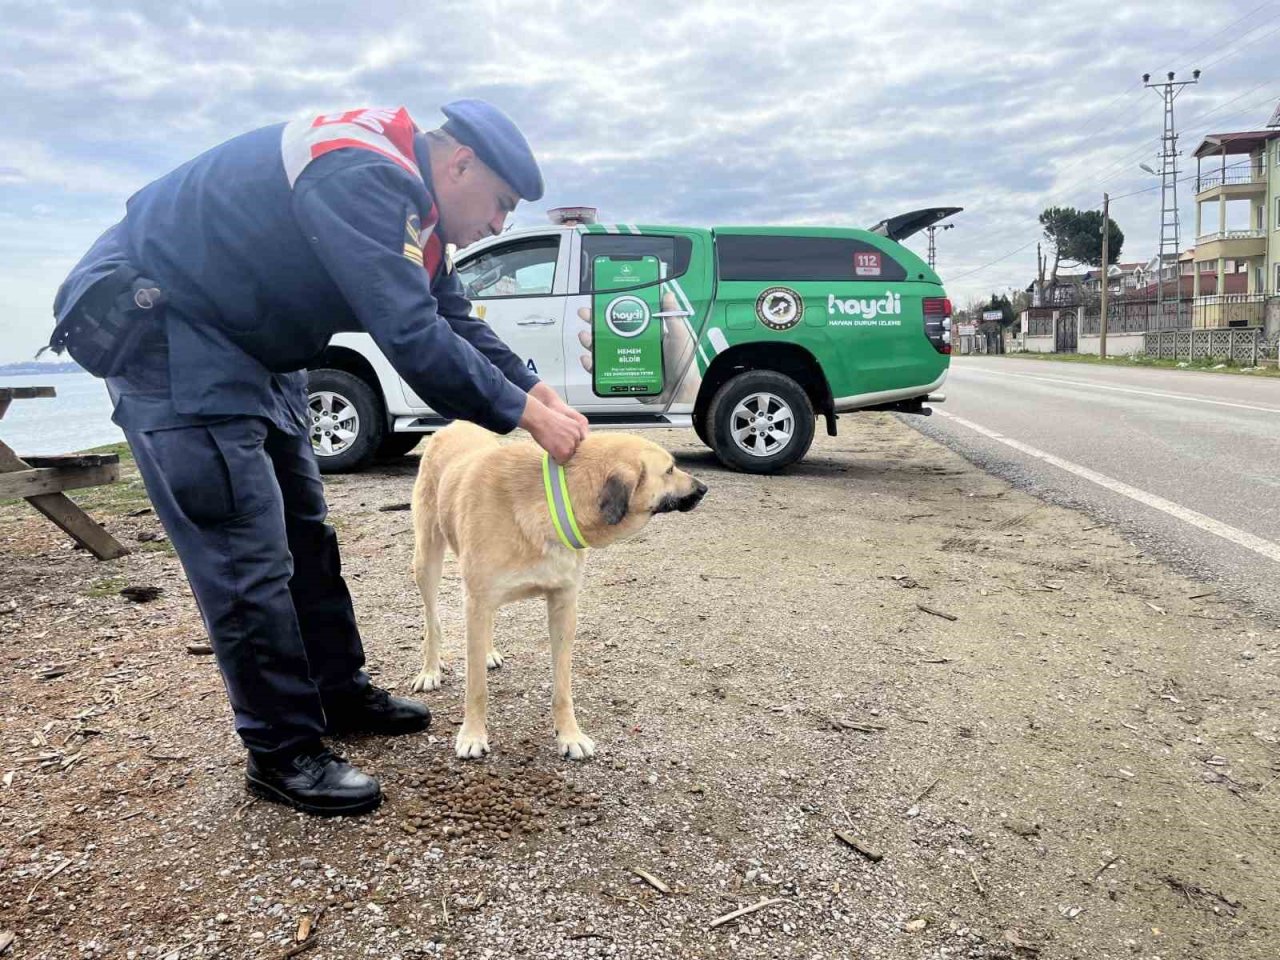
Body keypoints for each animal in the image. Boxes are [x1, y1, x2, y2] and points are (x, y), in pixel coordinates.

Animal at [409, 424, 711, 762]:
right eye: (670, 470)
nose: (704, 488)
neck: (551, 500)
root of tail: (455, 425)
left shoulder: (563, 604)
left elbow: (562, 687)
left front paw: (570, 735)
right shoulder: (476, 600)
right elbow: (476, 688)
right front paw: (473, 735)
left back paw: (487, 652)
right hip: (427, 562)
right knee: (432, 621)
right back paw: (430, 670)